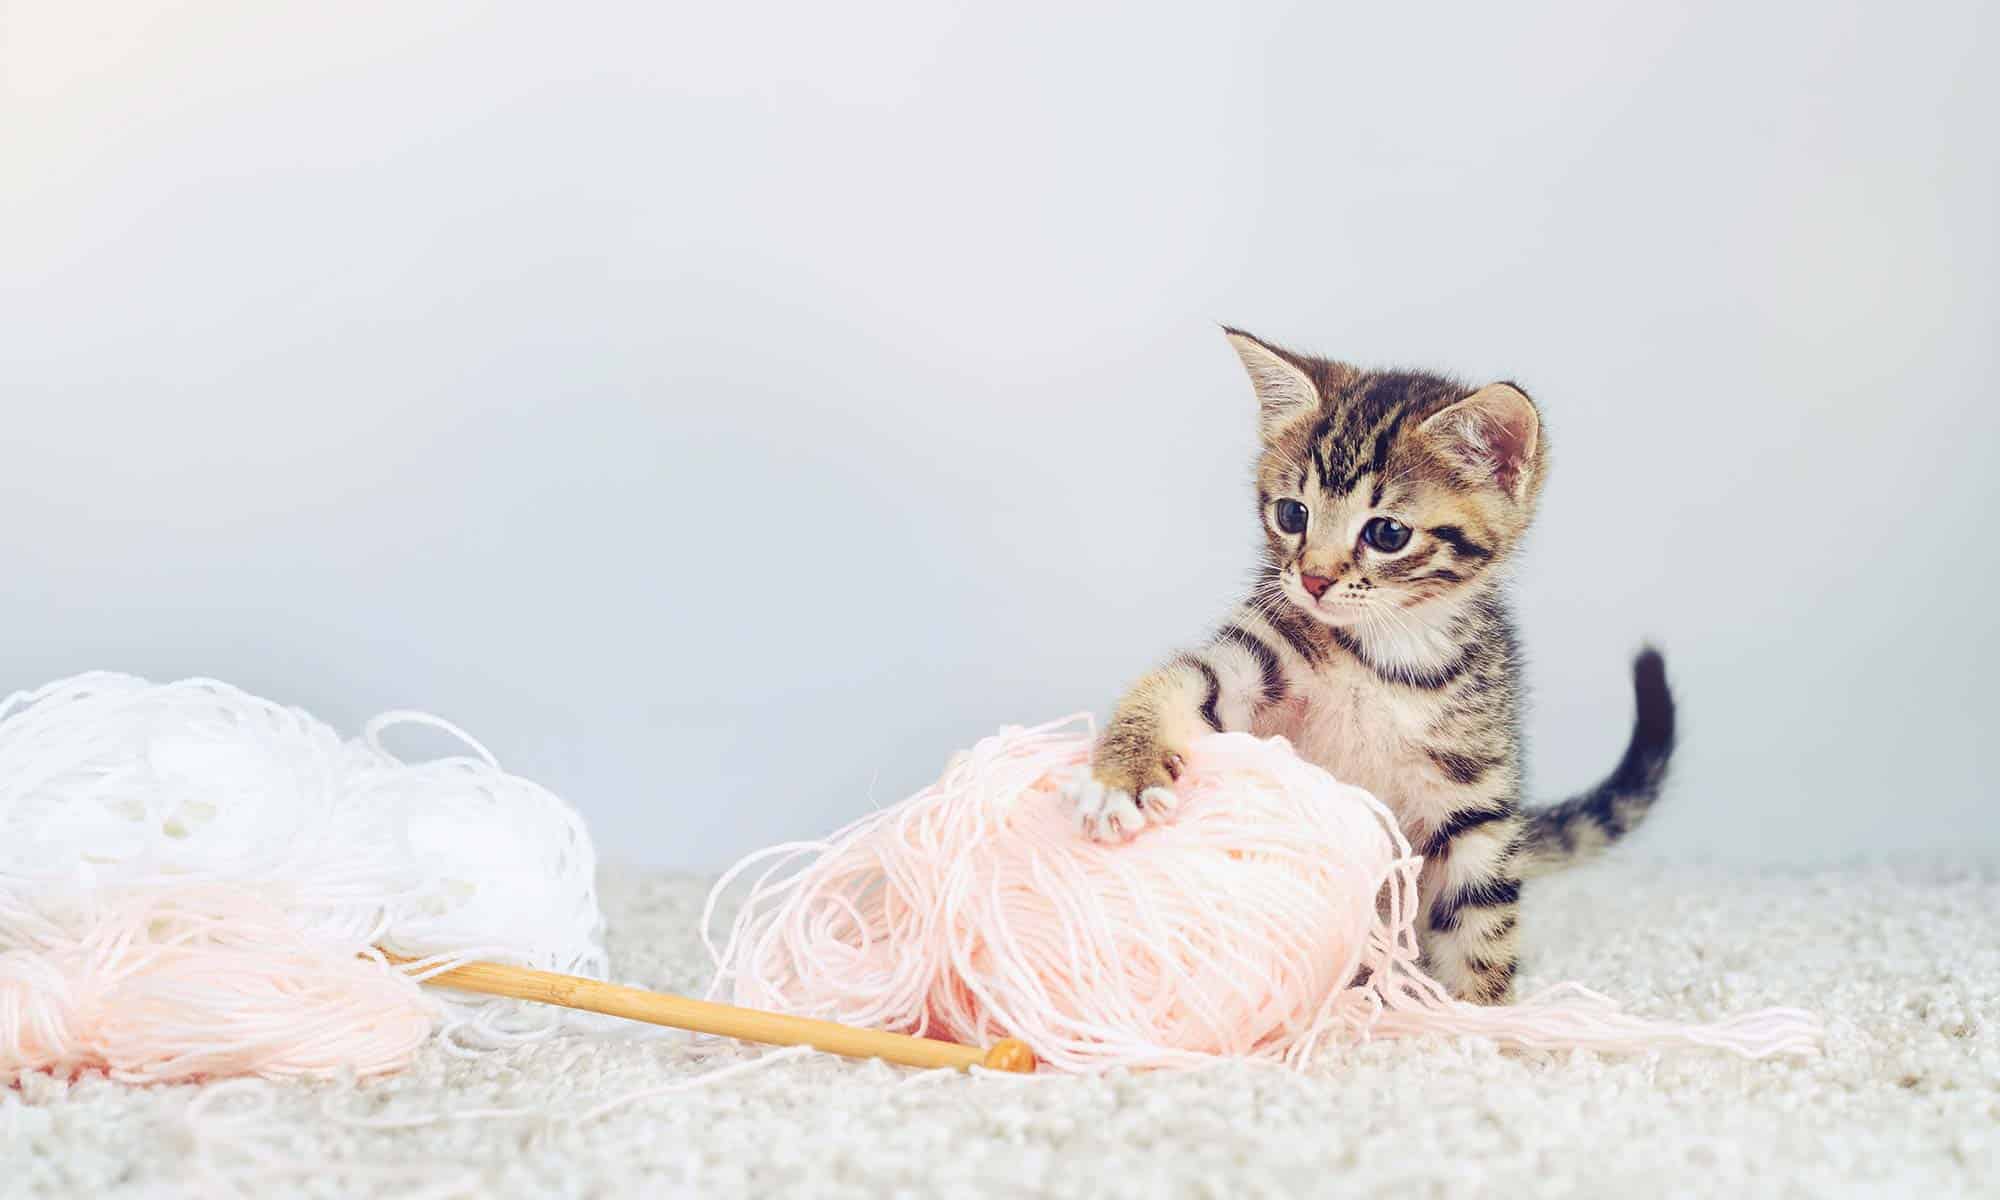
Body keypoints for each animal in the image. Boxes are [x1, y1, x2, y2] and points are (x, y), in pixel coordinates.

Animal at [1072, 328, 1680, 1004]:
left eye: (1387, 533)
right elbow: (1173, 685)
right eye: (1293, 514)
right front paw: (1122, 779)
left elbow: (1481, 920)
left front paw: (1479, 1020)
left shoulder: (1476, 788)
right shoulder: (1253, 657)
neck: (1385, 653)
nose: (1312, 580)